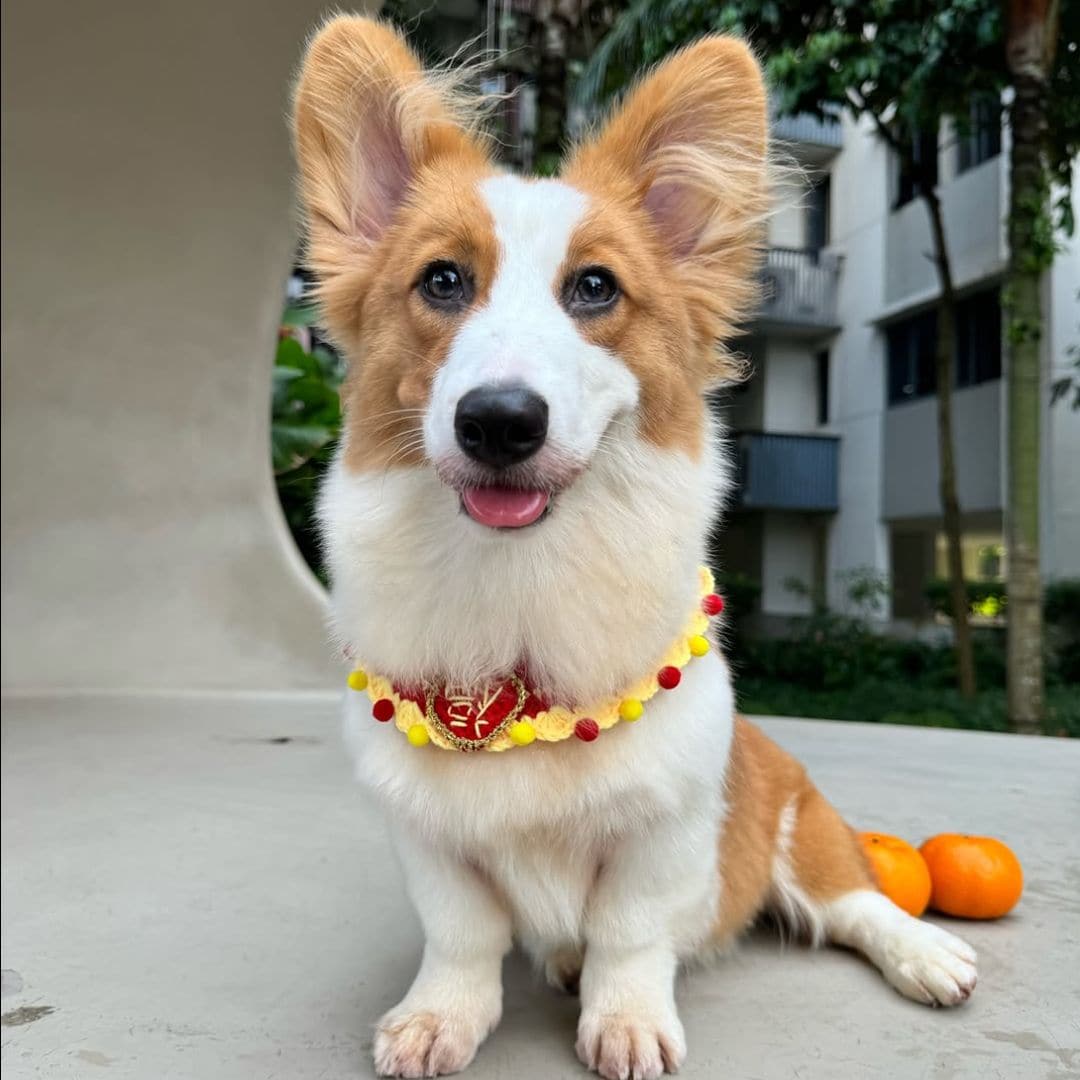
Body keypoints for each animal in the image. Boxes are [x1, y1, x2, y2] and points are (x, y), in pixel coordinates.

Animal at [291, 16, 984, 1080]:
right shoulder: (427, 834)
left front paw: (625, 1023)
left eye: (595, 287)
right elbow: (462, 936)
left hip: (801, 827)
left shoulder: (663, 833)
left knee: (855, 902)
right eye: (441, 281)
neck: (519, 581)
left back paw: (924, 954)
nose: (500, 422)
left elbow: (630, 932)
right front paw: (439, 1018)